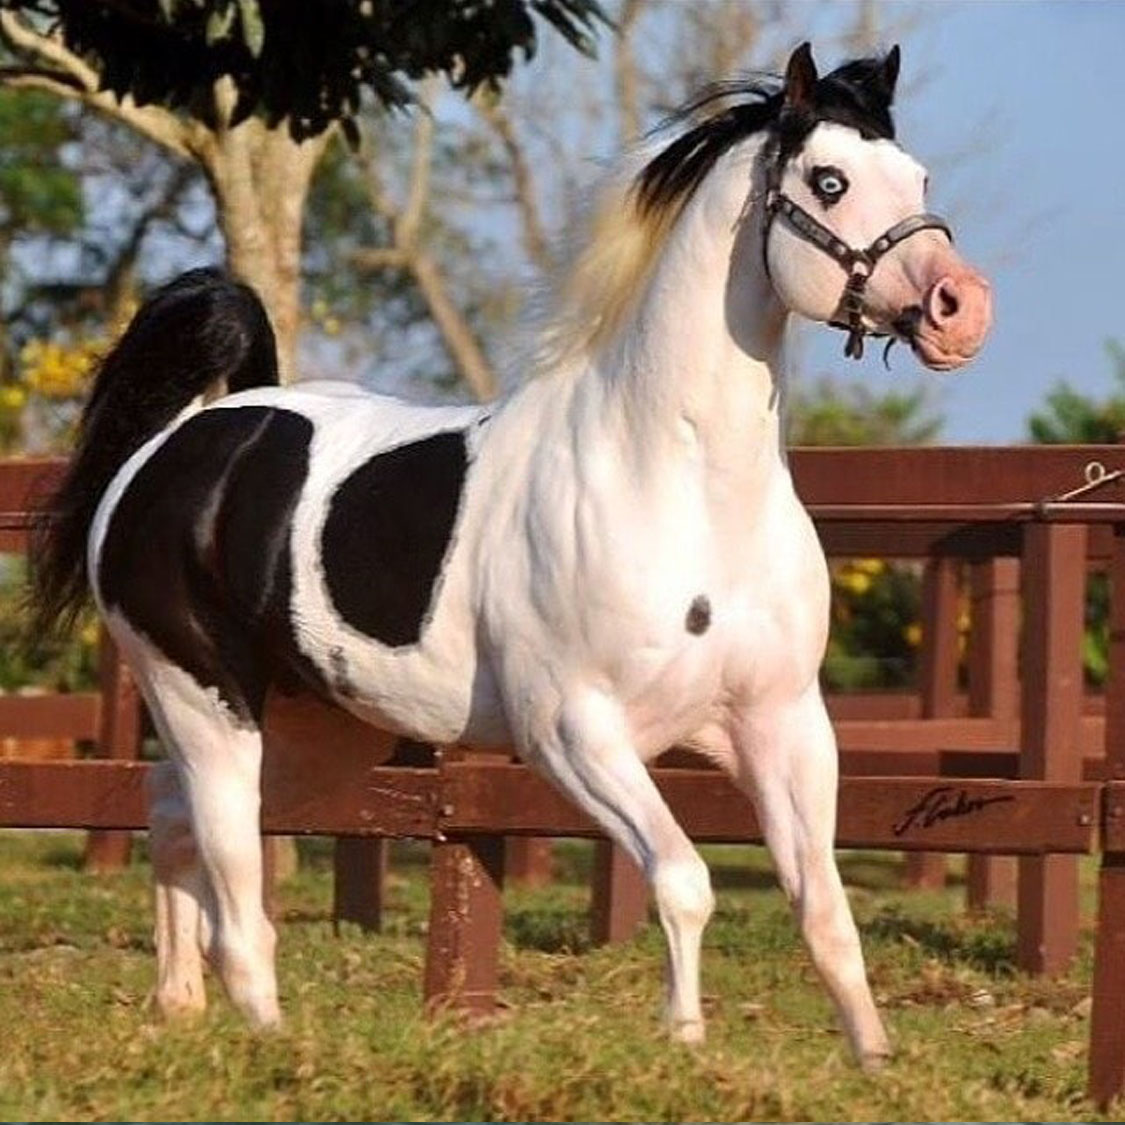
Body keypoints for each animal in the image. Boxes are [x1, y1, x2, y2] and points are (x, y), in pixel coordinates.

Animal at [30, 43, 990, 1062]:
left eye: (917, 177)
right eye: (828, 179)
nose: (958, 310)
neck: (673, 482)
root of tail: (182, 439)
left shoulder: (783, 724)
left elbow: (824, 907)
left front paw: (870, 1056)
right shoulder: (573, 731)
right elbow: (683, 879)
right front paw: (684, 1040)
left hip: (313, 732)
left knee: (171, 817)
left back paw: (179, 1006)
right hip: (206, 703)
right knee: (234, 895)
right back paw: (273, 1038)